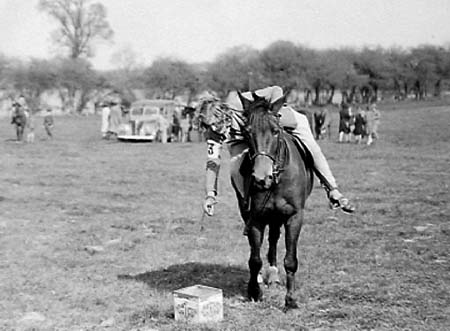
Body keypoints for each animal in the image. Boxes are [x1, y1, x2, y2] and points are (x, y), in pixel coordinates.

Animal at [237, 92, 314, 312]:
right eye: (247, 132)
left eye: (276, 131)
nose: (262, 177)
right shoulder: (255, 218)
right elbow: (254, 260)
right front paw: (254, 292)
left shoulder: (294, 217)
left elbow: (291, 260)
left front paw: (290, 299)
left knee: (274, 238)